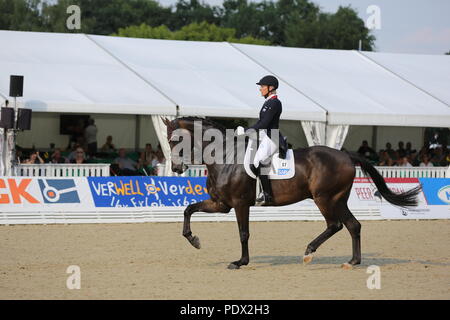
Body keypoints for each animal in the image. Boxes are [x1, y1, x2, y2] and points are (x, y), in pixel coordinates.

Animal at [163, 117, 422, 270]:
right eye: (168, 141)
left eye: (176, 140)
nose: (176, 168)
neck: (225, 156)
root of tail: (345, 155)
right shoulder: (220, 203)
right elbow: (188, 209)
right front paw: (194, 240)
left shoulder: (239, 203)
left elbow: (244, 233)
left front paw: (241, 262)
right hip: (338, 199)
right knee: (353, 225)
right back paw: (352, 261)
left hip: (324, 198)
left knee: (335, 225)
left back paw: (309, 252)